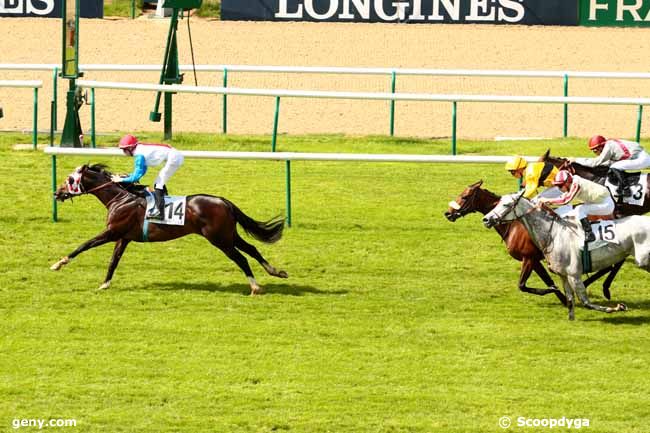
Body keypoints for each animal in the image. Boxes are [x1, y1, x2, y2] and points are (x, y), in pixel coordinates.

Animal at [48, 163, 286, 294]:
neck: (120, 198)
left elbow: (84, 245)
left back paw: (255, 287)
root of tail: (224, 201)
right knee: (252, 249)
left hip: (219, 239)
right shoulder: (123, 237)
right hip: (228, 234)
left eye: (70, 179)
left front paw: (58, 263)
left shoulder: (112, 232)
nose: (57, 193)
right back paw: (276, 271)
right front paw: (105, 284)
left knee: (241, 258)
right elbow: (113, 261)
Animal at [442, 179, 620, 304]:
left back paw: (600, 287)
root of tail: (613, 212)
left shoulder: (528, 258)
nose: (448, 213)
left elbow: (522, 285)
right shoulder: (535, 260)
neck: (515, 223)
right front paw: (563, 298)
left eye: (464, 196)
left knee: (613, 264)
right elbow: (547, 281)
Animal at [478, 191, 648, 318]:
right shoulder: (554, 269)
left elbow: (583, 300)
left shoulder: (565, 270)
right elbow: (565, 295)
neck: (553, 232)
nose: (486, 219)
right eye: (497, 203)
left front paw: (616, 308)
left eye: (506, 205)